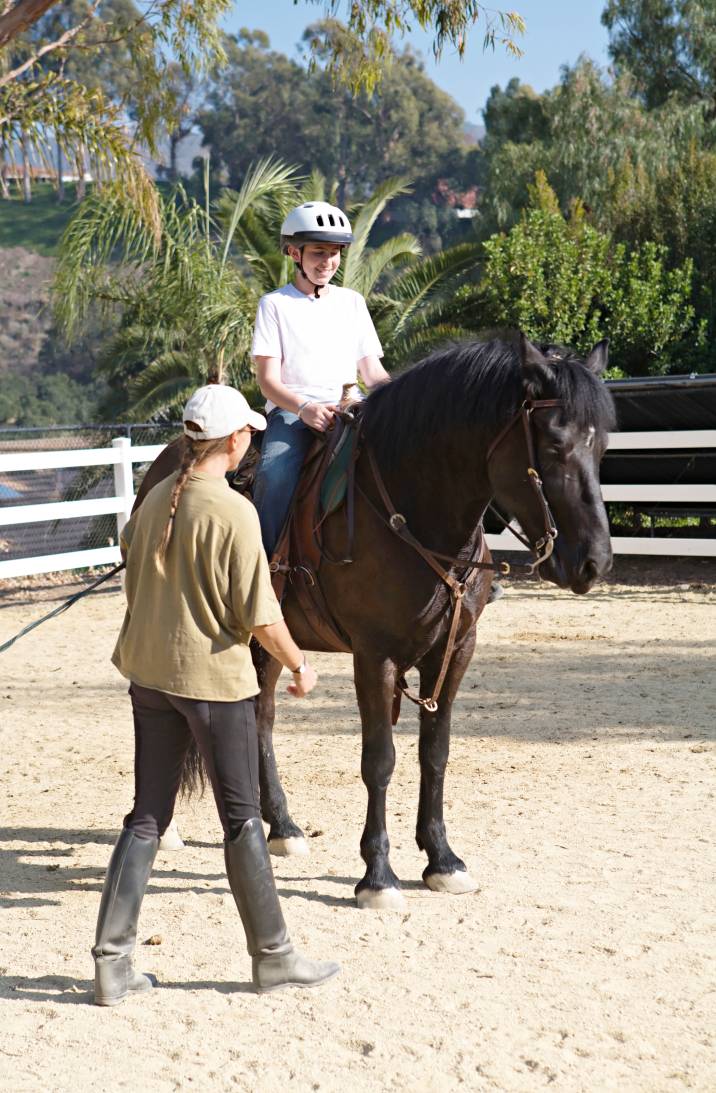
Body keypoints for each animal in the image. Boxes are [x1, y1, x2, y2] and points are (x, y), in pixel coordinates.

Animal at [134, 336, 616, 909]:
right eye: (554, 445)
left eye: (602, 447)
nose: (593, 561)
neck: (413, 514)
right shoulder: (374, 655)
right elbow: (380, 760)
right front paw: (378, 875)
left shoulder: (454, 651)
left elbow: (435, 753)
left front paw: (442, 859)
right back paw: (171, 827)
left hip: (264, 643)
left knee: (261, 719)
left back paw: (282, 827)